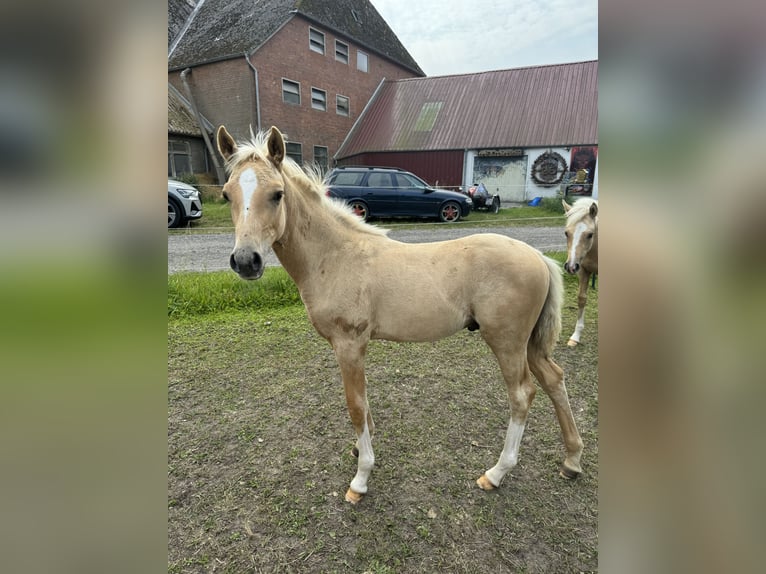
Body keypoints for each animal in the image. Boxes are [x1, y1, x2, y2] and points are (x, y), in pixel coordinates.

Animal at [216, 125, 588, 504]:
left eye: (277, 194)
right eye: (227, 194)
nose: (246, 261)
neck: (336, 256)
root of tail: (538, 256)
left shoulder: (349, 344)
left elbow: (355, 404)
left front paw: (361, 478)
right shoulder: (353, 347)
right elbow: (364, 402)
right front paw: (360, 449)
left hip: (507, 342)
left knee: (522, 394)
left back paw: (496, 473)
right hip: (530, 344)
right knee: (554, 379)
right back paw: (571, 460)